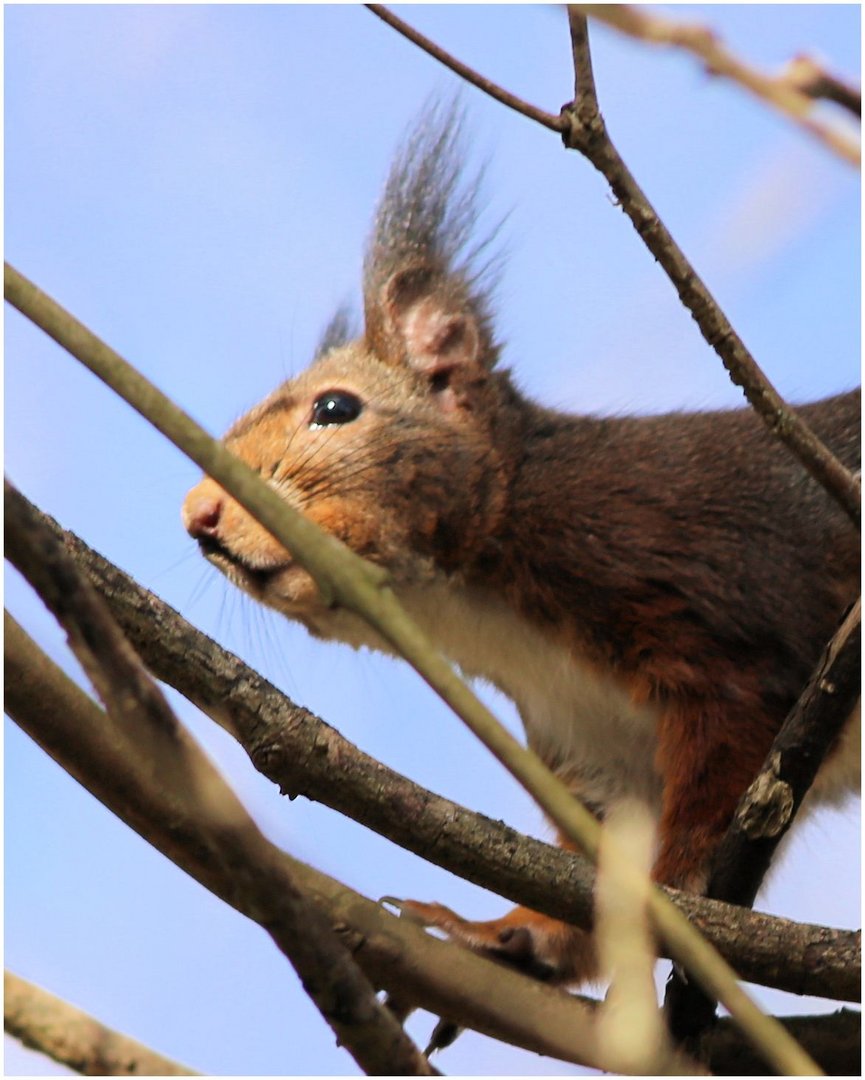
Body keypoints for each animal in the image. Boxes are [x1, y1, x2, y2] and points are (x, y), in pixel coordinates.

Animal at [182, 109, 855, 989]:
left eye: (334, 409)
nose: (198, 515)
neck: (482, 607)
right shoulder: (597, 752)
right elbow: (591, 870)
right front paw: (508, 931)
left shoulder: (716, 620)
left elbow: (707, 805)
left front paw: (666, 912)